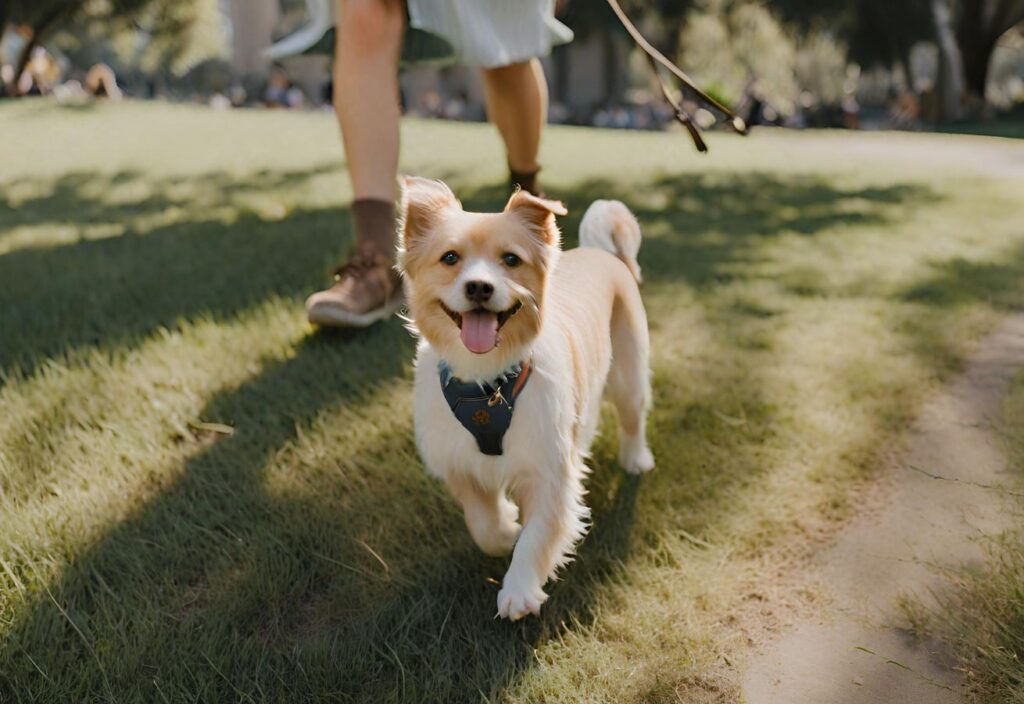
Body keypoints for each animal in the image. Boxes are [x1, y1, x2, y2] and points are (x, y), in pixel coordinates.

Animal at [395, 179, 651, 618]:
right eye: (450, 258)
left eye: (511, 259)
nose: (479, 287)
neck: (488, 381)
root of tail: (601, 252)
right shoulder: (457, 461)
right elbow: (482, 522)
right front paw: (505, 529)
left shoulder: (552, 470)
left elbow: (539, 535)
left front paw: (519, 589)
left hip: (628, 374)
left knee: (632, 419)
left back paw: (636, 460)